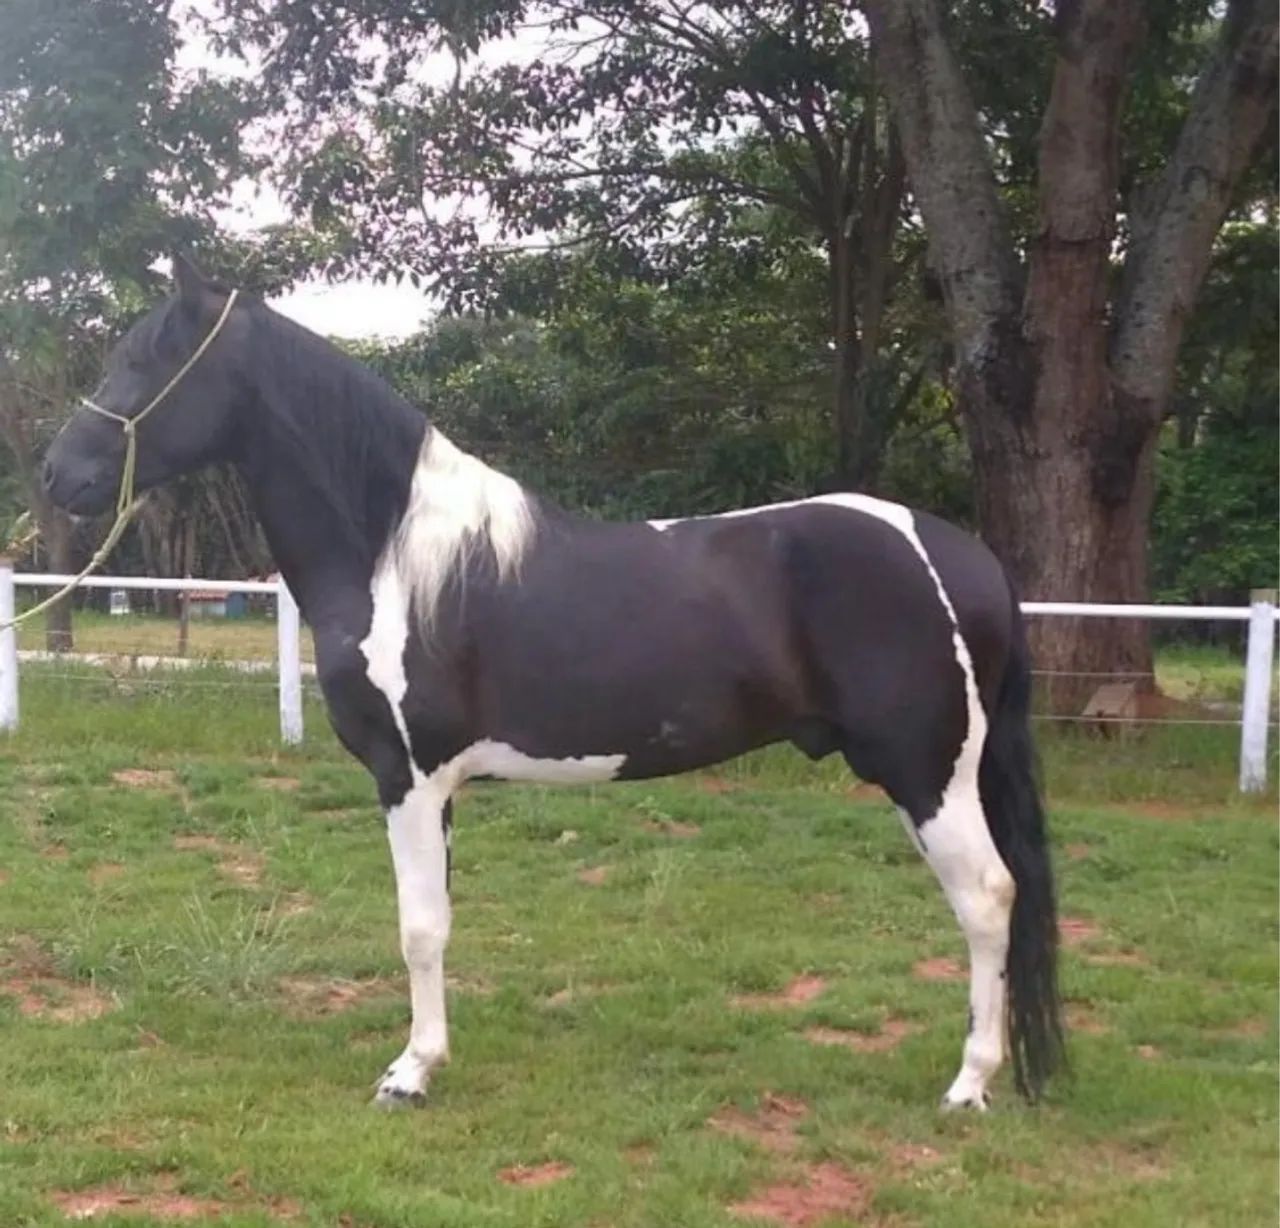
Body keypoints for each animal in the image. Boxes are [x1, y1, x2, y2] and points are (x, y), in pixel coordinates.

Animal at [42, 255, 1064, 1111]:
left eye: (142, 359)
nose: (59, 474)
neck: (395, 560)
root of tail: (963, 556)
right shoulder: (439, 787)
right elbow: (440, 920)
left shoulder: (408, 778)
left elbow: (418, 927)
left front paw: (409, 1074)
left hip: (928, 773)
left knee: (989, 900)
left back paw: (970, 1084)